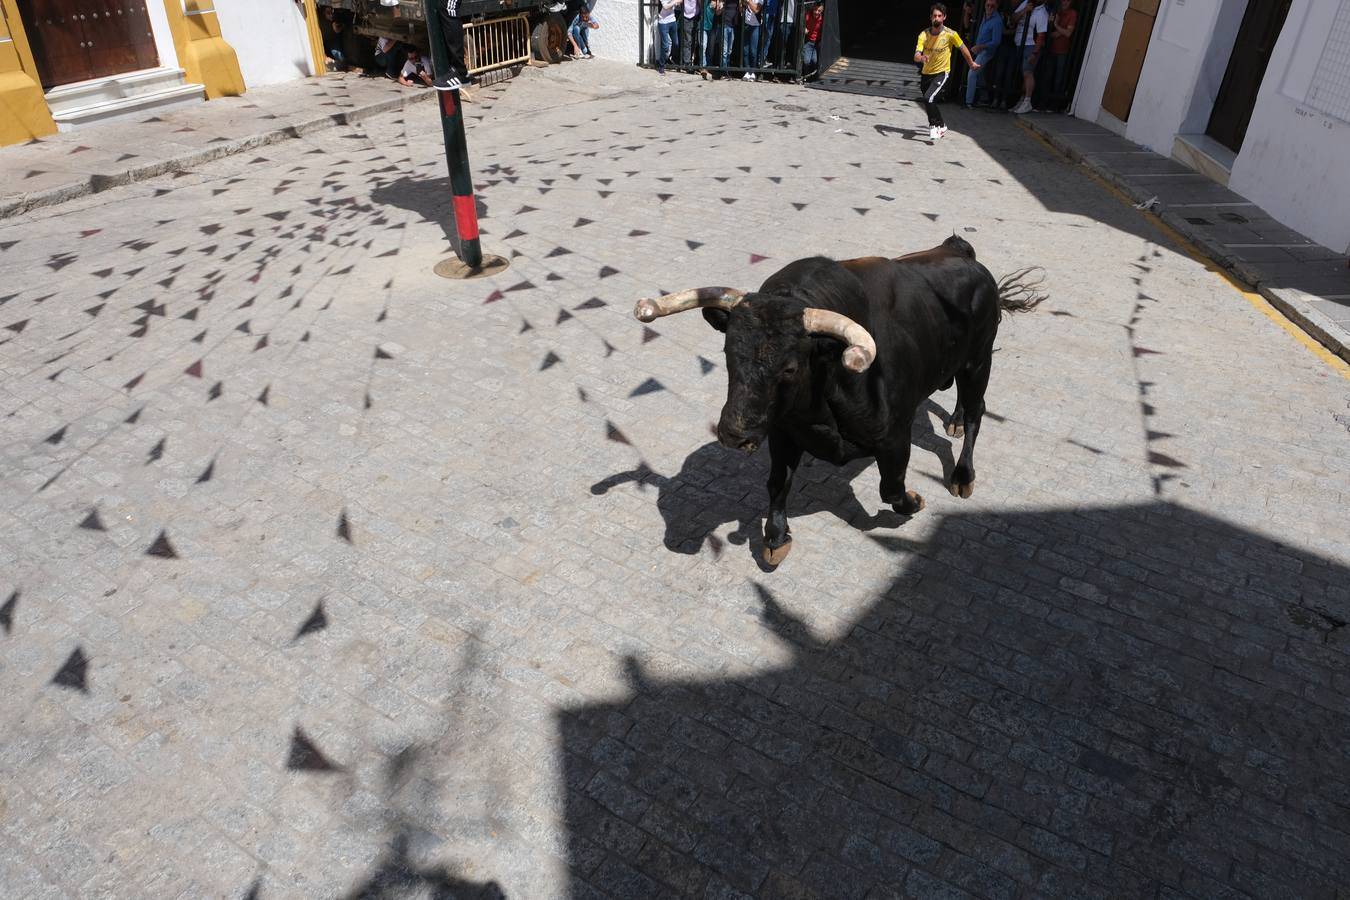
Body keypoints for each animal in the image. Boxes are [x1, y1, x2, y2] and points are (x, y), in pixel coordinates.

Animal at [631, 236, 1042, 566]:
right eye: (729, 353)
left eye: (790, 367)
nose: (734, 433)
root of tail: (959, 250)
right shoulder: (783, 431)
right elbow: (777, 483)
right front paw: (776, 538)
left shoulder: (896, 436)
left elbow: (892, 488)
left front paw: (914, 501)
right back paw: (952, 420)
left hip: (979, 361)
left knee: (976, 411)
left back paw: (962, 474)